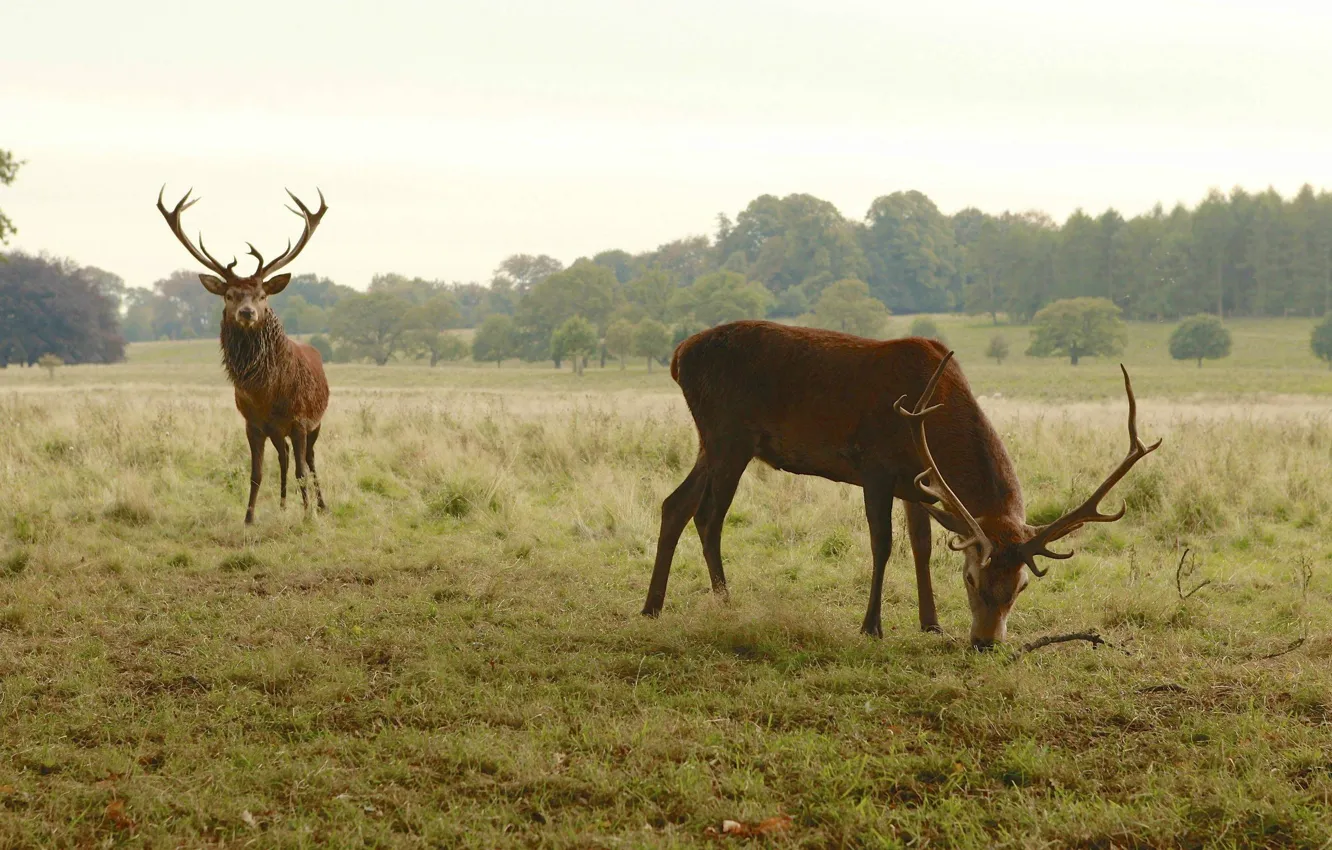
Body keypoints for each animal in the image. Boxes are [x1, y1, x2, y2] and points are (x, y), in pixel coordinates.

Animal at [157, 186, 331, 524]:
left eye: (262, 295)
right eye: (229, 294)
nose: (247, 312)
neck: (267, 394)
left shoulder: (300, 419)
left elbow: (303, 471)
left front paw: (307, 516)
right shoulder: (252, 423)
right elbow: (255, 473)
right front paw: (249, 518)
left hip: (315, 423)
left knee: (310, 460)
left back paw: (320, 506)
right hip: (277, 431)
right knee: (284, 457)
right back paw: (283, 505)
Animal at [642, 320, 1160, 649]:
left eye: (1021, 587)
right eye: (971, 579)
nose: (985, 643)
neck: (933, 415)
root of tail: (677, 357)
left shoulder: (920, 483)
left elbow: (922, 545)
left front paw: (931, 623)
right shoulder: (874, 466)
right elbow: (882, 543)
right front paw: (872, 626)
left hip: (715, 440)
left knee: (677, 504)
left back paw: (659, 604)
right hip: (728, 433)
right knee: (706, 513)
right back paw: (712, 602)